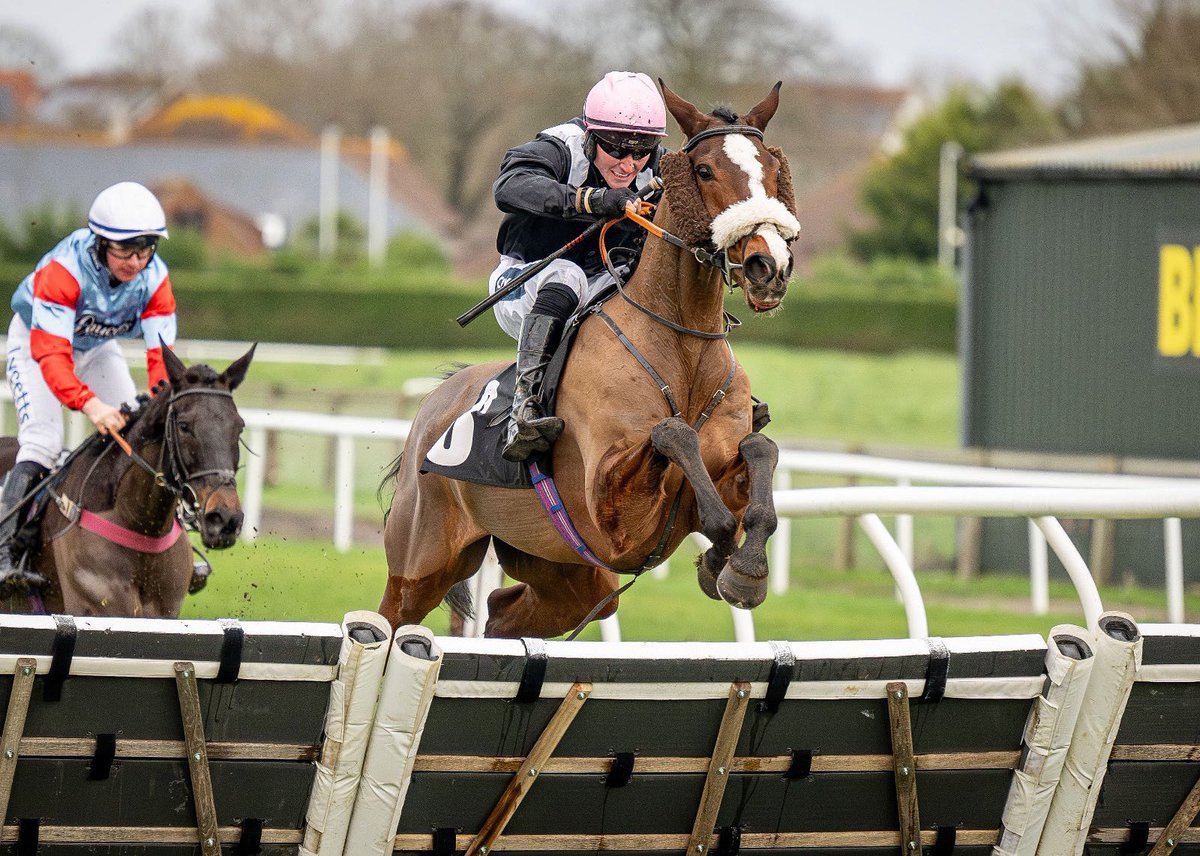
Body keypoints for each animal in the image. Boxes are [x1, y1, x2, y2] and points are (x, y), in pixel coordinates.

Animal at [381, 83, 796, 638]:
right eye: (705, 169)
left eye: (772, 169)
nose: (768, 265)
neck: (681, 346)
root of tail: (431, 407)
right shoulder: (611, 509)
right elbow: (674, 434)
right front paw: (722, 557)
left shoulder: (715, 475)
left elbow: (759, 451)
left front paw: (738, 568)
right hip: (420, 563)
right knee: (391, 616)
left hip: (569, 573)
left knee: (502, 613)